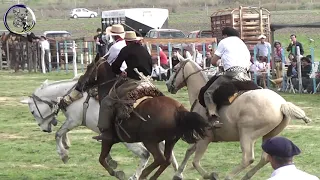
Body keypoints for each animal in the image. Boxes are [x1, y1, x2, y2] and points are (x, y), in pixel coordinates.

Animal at [21, 79, 179, 180]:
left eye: (32, 112)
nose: (44, 129)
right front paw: (111, 160)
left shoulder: (73, 121)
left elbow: (59, 133)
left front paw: (63, 154)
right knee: (167, 155)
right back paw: (177, 173)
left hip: (132, 141)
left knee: (145, 154)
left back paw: (135, 176)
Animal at [78, 59, 209, 180]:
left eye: (89, 67)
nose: (79, 85)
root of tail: (179, 109)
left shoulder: (107, 139)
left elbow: (101, 159)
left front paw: (118, 173)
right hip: (170, 140)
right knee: (166, 160)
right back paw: (151, 176)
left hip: (150, 141)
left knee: (160, 159)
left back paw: (144, 174)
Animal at [166, 60, 312, 180]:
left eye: (175, 68)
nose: (168, 84)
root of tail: (282, 104)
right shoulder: (199, 137)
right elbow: (189, 151)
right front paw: (178, 174)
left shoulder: (204, 139)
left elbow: (195, 162)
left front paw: (210, 175)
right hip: (270, 135)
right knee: (265, 158)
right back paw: (246, 176)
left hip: (247, 135)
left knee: (248, 159)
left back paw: (229, 176)